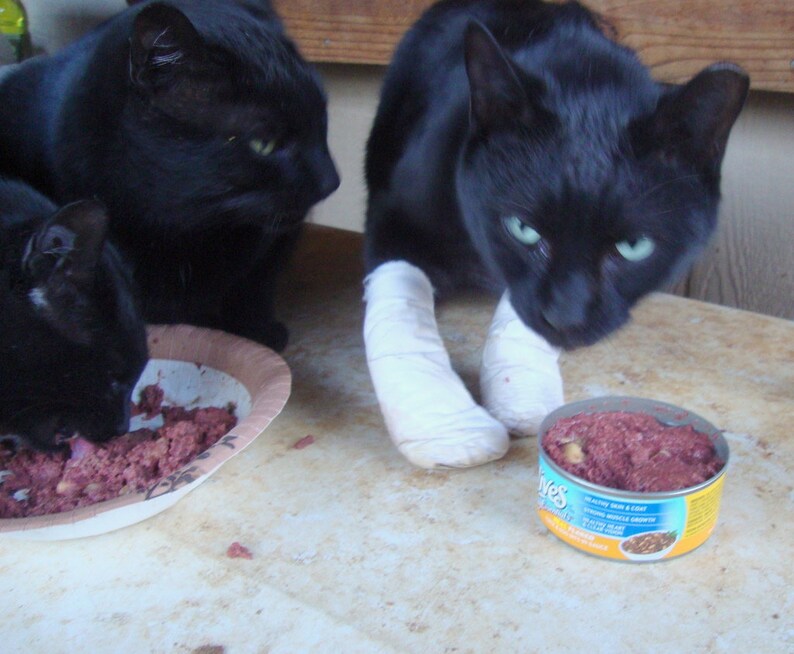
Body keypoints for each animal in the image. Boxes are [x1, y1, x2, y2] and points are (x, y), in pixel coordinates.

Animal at [0, 0, 338, 354]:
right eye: (265, 143)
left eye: (322, 119)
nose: (331, 180)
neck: (192, 229)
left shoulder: (276, 241)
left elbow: (256, 286)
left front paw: (258, 331)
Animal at [362, 0, 744, 472]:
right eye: (523, 230)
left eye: (634, 247)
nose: (566, 316)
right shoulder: (390, 218)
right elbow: (402, 298)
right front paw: (450, 424)